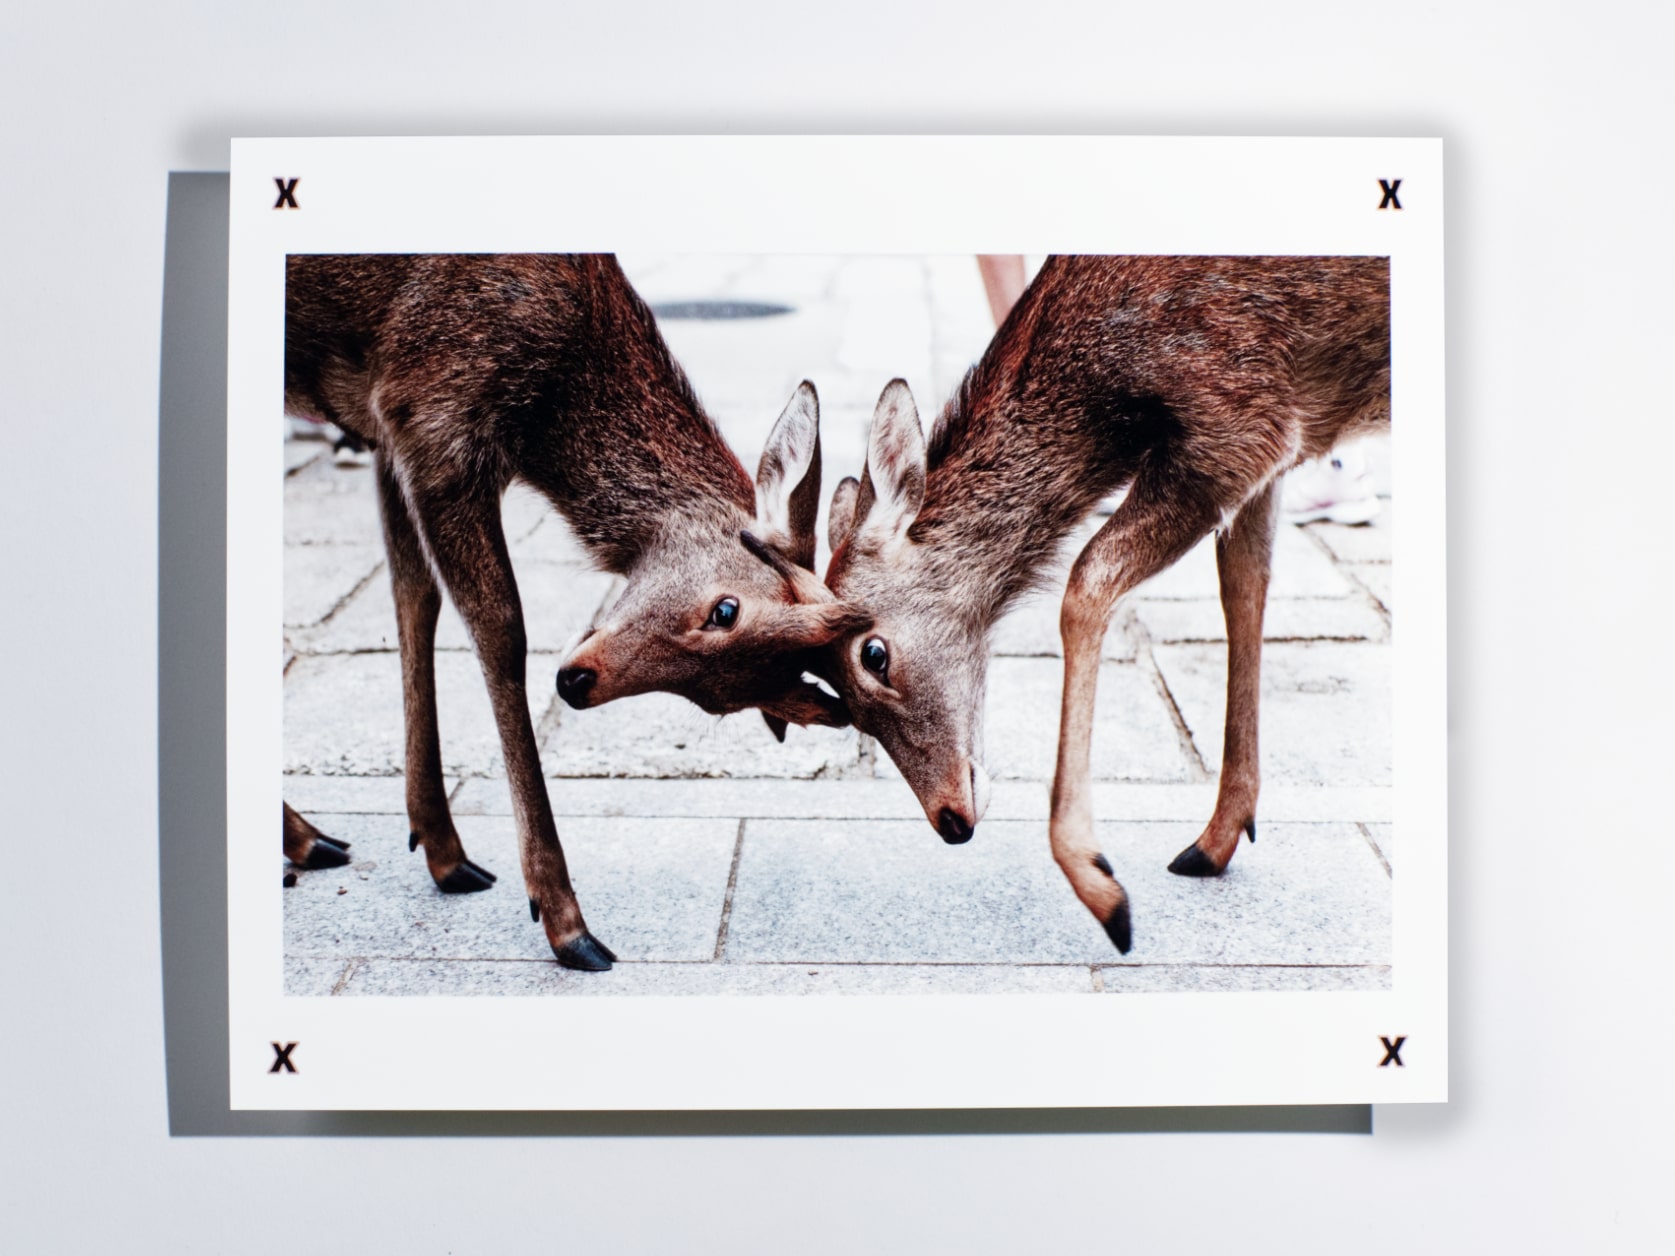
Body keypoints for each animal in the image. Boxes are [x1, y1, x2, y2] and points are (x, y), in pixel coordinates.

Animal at [283, 251, 864, 971]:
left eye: (720, 703)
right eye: (726, 610)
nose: (575, 682)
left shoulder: (385, 427)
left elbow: (412, 597)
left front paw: (442, 848)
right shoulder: (428, 413)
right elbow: (499, 629)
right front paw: (566, 921)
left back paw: (307, 838)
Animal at [820, 261, 1386, 957]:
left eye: (873, 654)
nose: (951, 821)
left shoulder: (1242, 425)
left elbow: (1085, 584)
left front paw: (1104, 889)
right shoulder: (1273, 451)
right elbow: (1244, 586)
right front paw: (1216, 839)